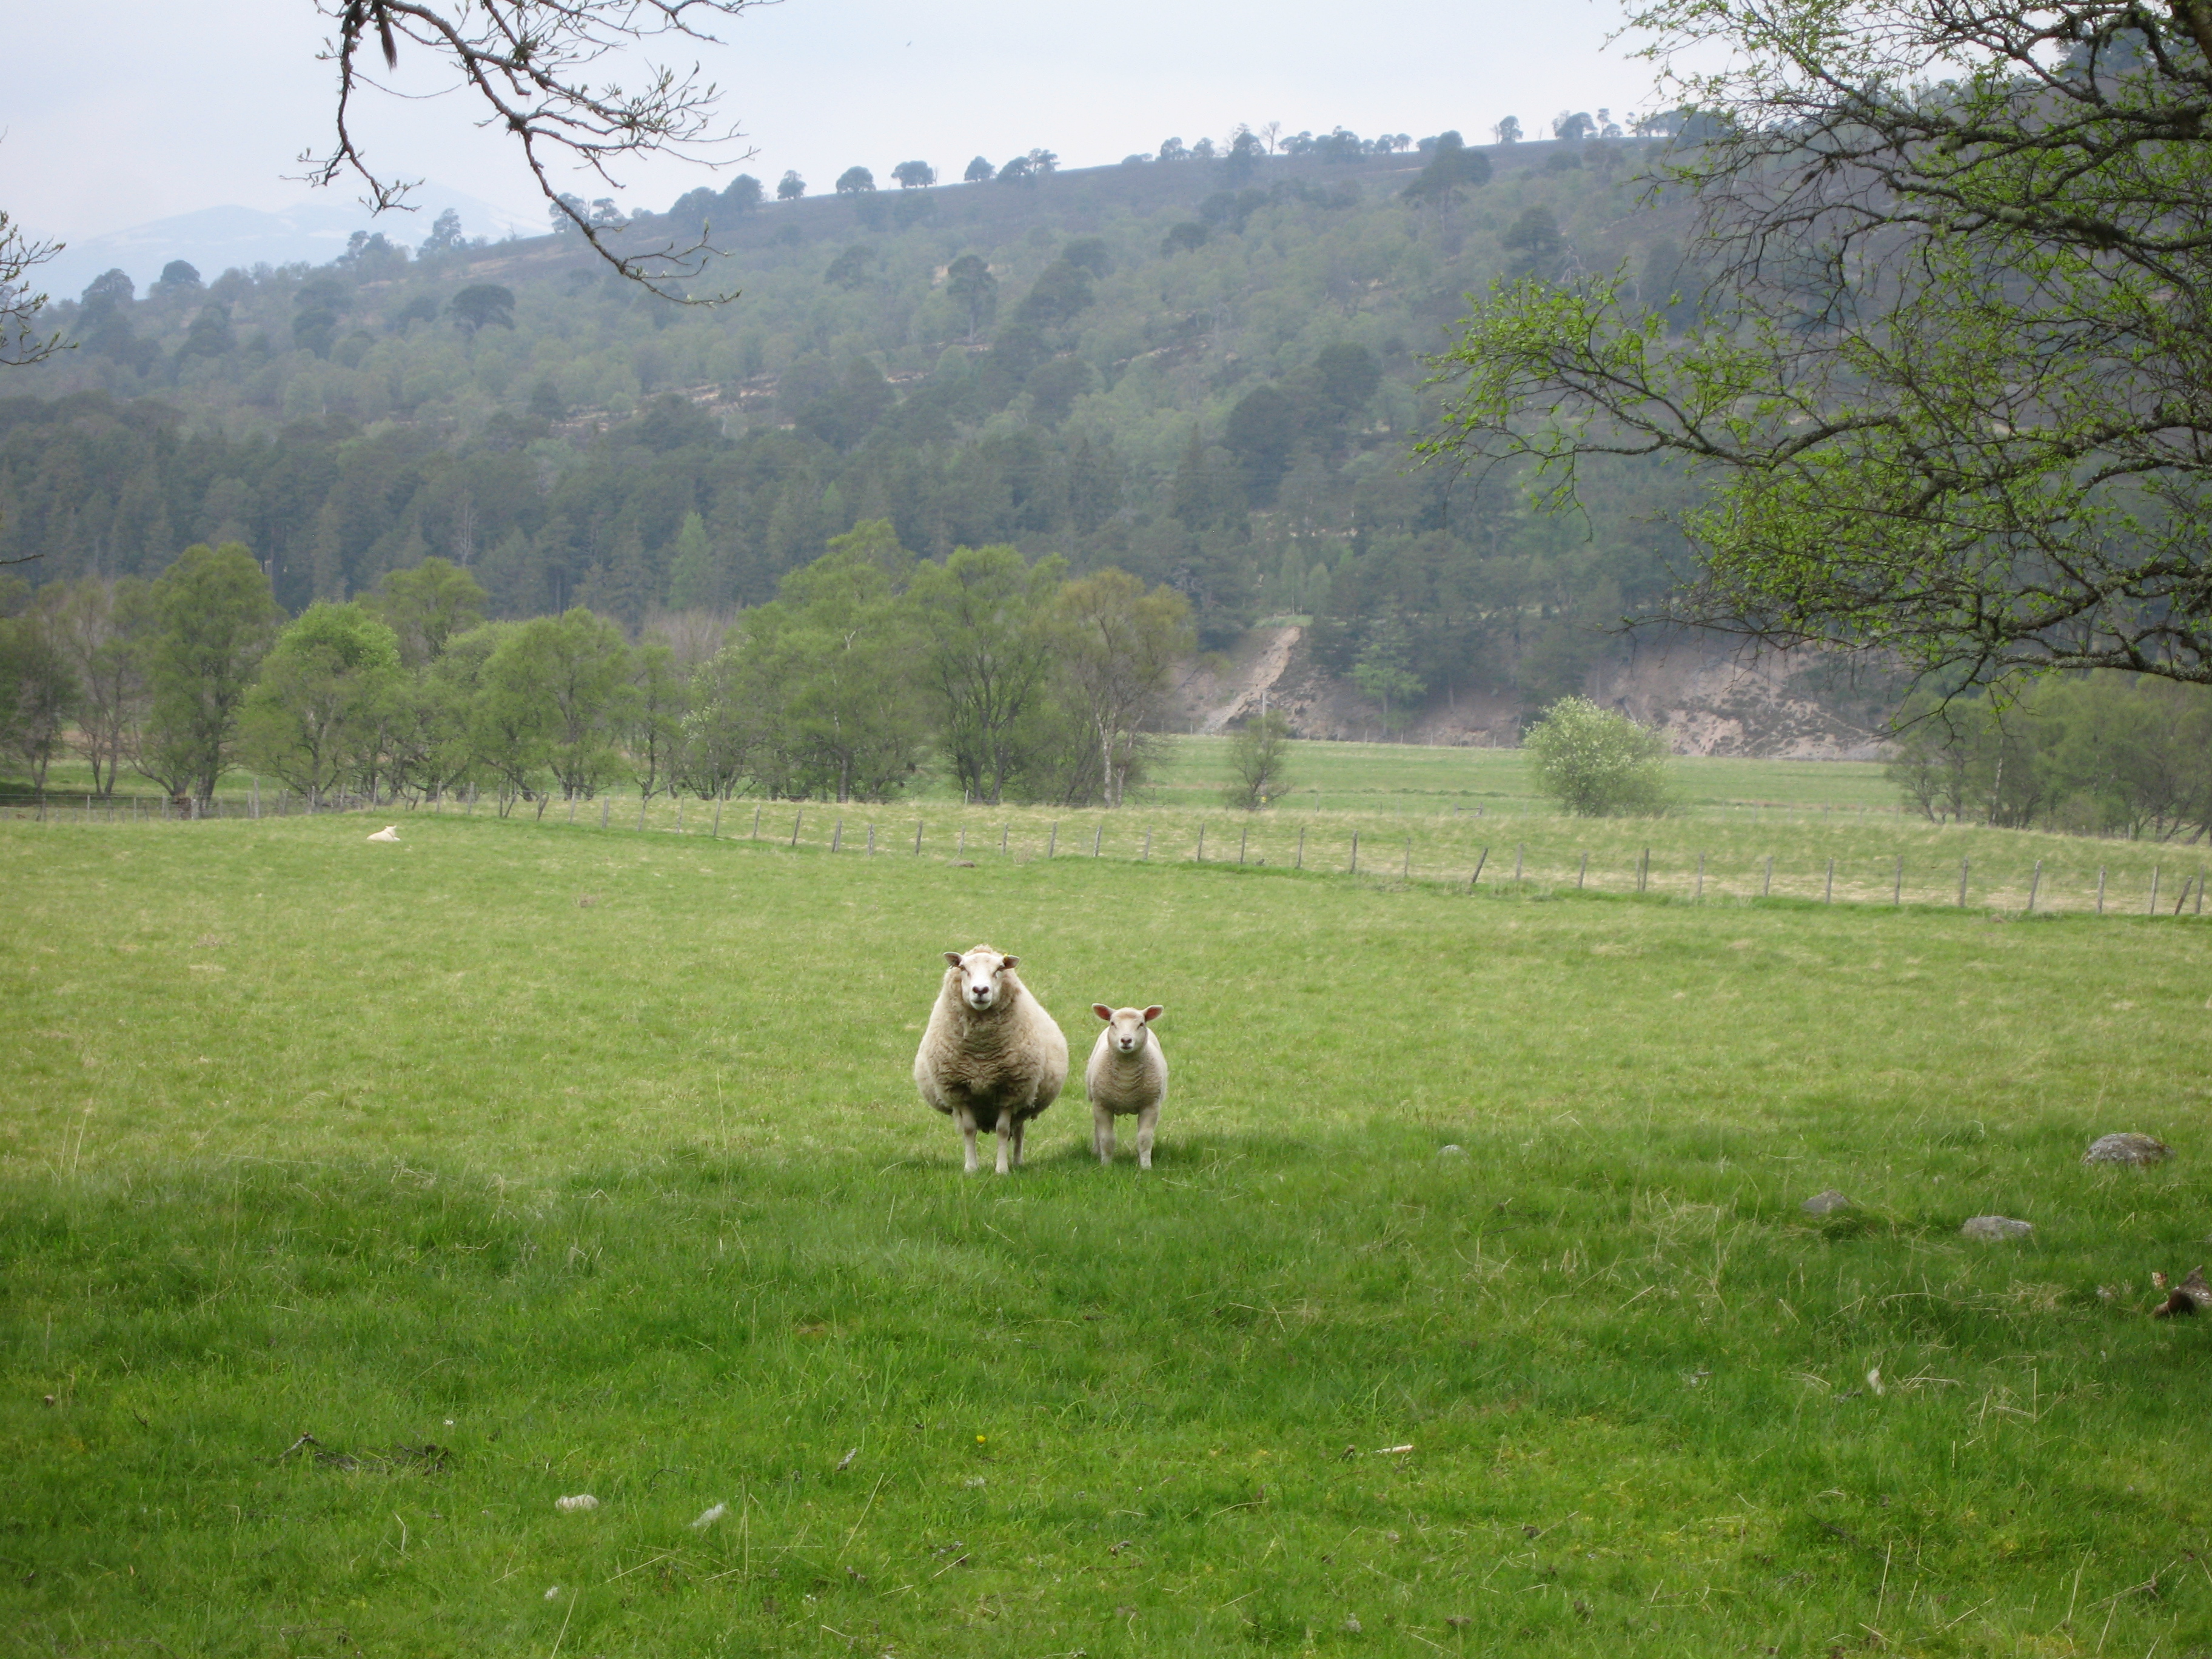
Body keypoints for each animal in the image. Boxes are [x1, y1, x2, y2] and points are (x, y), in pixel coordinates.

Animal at [913, 945, 1069, 1175]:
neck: (982, 1054)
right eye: (963, 968)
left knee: (1018, 1131)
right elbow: (969, 1130)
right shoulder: (959, 1090)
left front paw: (1002, 1170)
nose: (980, 990)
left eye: (999, 969)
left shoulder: (1011, 1089)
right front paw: (971, 1168)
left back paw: (1017, 1162)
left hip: (1023, 1101)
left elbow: (1003, 1130)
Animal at [1085, 1004, 1167, 1169]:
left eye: (1141, 1024)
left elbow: (1145, 1138)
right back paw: (1096, 1152)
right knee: (1097, 1130)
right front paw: (1106, 1166)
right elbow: (1106, 1138)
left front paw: (1146, 1167)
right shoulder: (1102, 1105)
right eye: (1113, 1023)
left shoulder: (1151, 1105)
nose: (1126, 1040)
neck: (1126, 1081)